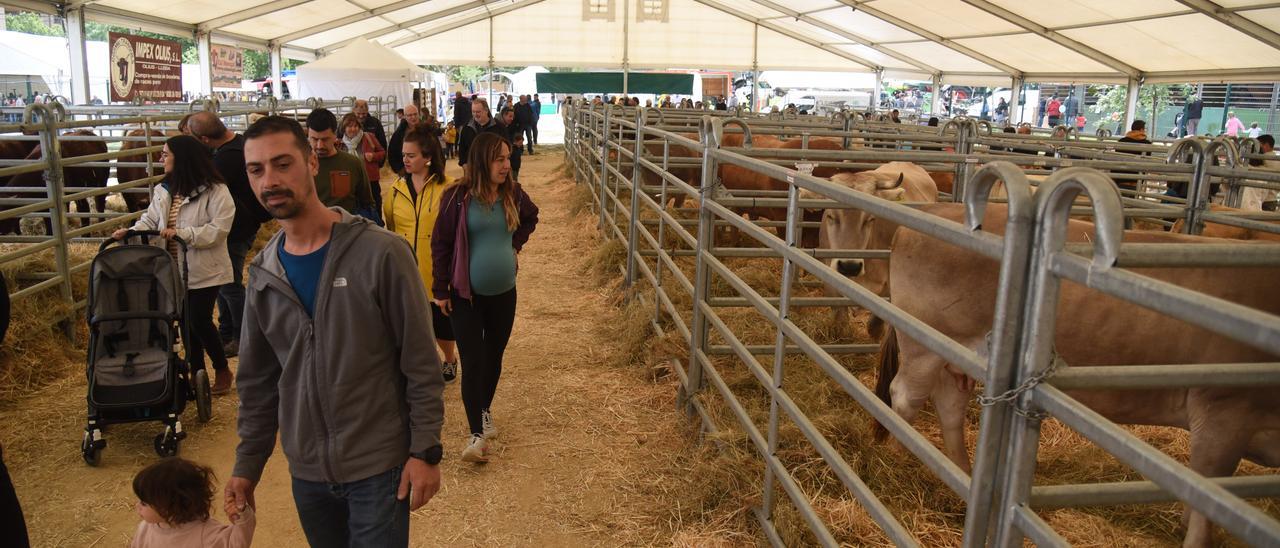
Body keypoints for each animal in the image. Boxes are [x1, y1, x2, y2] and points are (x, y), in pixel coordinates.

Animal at [875, 202, 1280, 548]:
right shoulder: (1223, 409)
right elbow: (1207, 497)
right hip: (922, 343)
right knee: (905, 396)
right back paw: (897, 458)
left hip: (953, 354)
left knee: (950, 406)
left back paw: (960, 472)